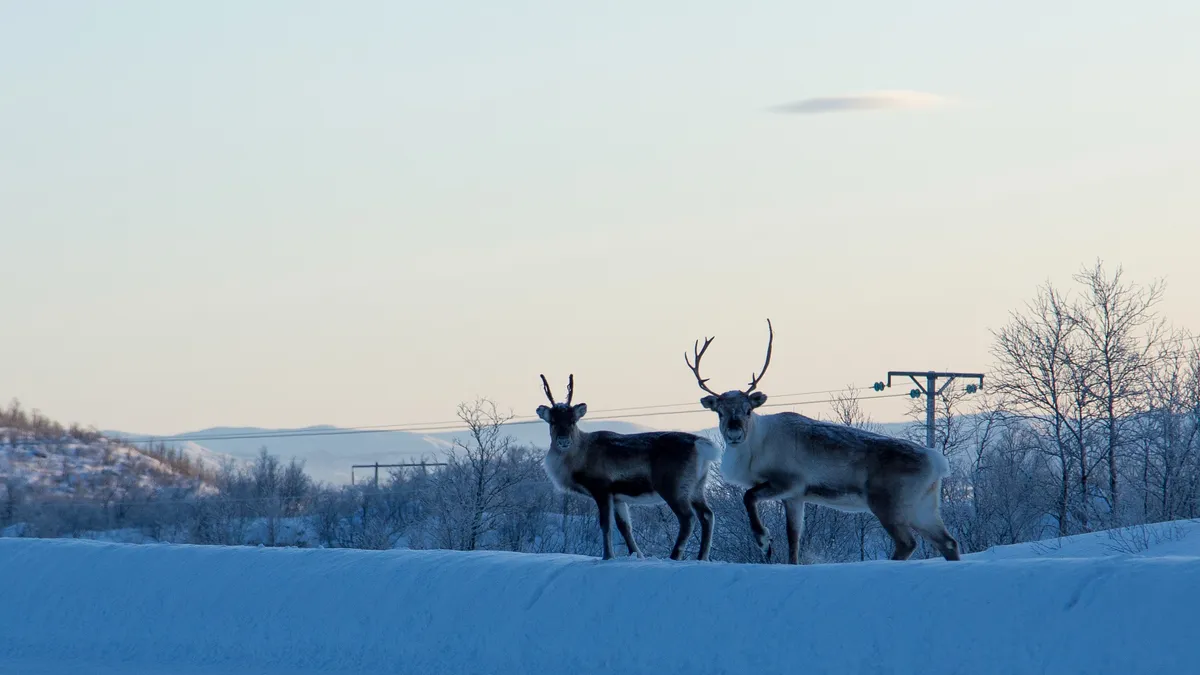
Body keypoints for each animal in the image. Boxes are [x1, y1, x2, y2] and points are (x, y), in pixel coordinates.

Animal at [535, 374, 722, 561]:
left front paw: (608, 556)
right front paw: (637, 555)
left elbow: (605, 525)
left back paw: (674, 556)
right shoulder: (618, 496)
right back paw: (702, 557)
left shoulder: (601, 488)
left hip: (674, 486)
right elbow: (624, 527)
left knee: (687, 518)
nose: (563, 441)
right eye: (552, 421)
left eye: (573, 421)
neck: (579, 457)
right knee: (707, 515)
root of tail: (701, 445)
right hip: (697, 486)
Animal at [684, 319, 961, 564]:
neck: (756, 449)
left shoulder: (788, 482)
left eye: (748, 410)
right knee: (948, 542)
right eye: (719, 411)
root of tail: (937, 462)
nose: (734, 433)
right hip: (923, 506)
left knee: (908, 543)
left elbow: (748, 496)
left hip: (888, 502)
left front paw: (763, 541)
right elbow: (794, 539)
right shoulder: (796, 496)